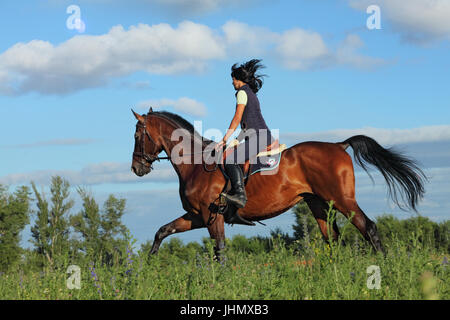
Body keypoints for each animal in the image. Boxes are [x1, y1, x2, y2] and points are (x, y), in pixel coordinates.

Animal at [130, 108, 426, 258]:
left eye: (136, 135)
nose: (136, 168)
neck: (196, 164)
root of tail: (339, 145)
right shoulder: (197, 216)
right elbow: (162, 231)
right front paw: (149, 264)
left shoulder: (211, 216)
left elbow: (220, 250)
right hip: (318, 204)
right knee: (332, 239)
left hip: (342, 200)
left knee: (369, 228)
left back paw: (383, 269)